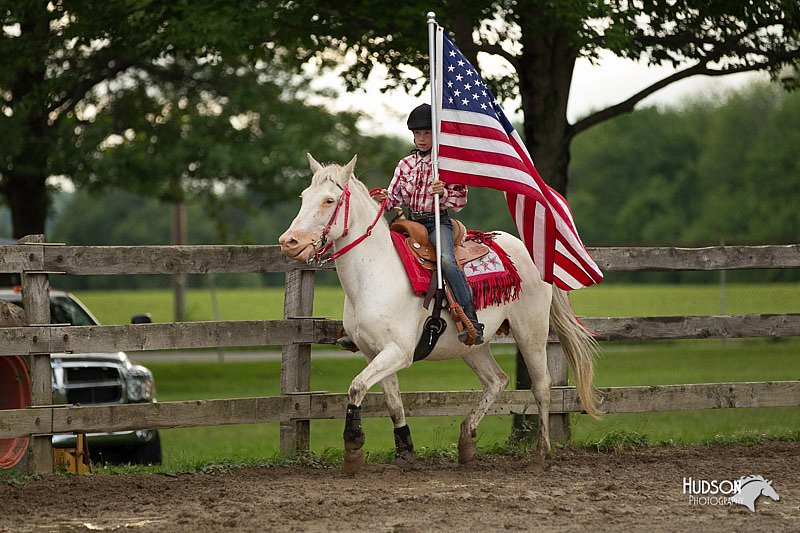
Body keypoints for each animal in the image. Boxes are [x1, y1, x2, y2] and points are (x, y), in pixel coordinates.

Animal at [278, 153, 596, 470]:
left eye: (329, 200)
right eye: (304, 196)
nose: (288, 242)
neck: (375, 272)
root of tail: (529, 249)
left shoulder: (399, 352)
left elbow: (356, 387)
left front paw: (353, 447)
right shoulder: (374, 352)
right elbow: (393, 403)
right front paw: (405, 450)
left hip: (531, 331)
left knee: (541, 386)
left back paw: (541, 453)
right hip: (472, 345)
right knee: (497, 380)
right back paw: (466, 440)